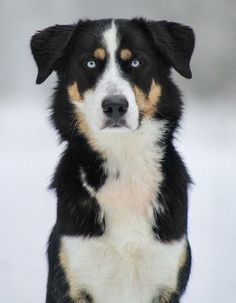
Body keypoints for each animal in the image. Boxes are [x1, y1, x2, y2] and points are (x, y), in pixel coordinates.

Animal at [30, 18, 195, 303]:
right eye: (90, 63)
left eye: (136, 62)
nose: (115, 106)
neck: (123, 159)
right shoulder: (72, 276)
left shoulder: (165, 276)